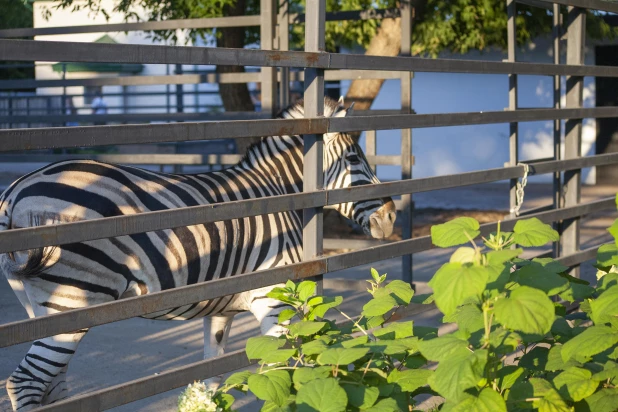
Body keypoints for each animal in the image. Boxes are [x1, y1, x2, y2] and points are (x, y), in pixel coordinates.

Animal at [1, 96, 394, 408]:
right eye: (353, 158)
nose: (391, 216)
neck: (277, 194)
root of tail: (15, 191)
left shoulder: (222, 309)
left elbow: (212, 379)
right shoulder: (272, 298)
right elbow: (288, 369)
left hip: (42, 309)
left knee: (52, 385)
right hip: (72, 300)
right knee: (25, 382)